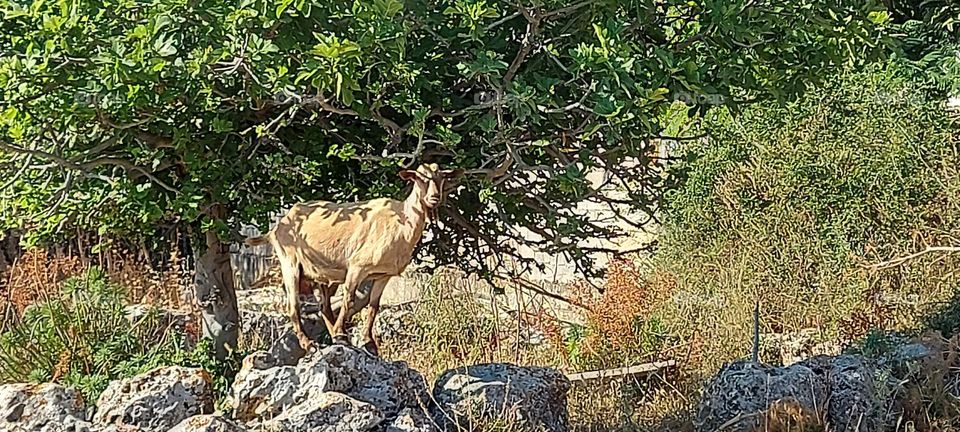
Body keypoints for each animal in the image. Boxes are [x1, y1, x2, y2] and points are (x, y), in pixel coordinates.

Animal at [244, 162, 462, 354]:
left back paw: (332, 337)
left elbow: (373, 307)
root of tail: (278, 226)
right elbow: (349, 299)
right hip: (290, 262)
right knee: (293, 306)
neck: (401, 223)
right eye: (418, 178)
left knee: (324, 307)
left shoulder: (383, 275)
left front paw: (368, 343)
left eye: (442, 178)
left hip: (322, 274)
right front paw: (342, 335)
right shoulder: (357, 267)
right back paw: (310, 344)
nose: (434, 198)